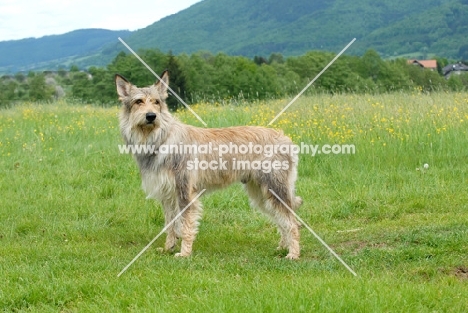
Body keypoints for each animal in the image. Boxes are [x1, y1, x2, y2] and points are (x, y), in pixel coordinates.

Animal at [115, 71, 302, 258]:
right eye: (138, 101)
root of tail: (285, 138)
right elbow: (170, 225)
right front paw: (169, 247)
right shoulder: (168, 196)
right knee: (282, 220)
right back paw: (283, 247)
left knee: (292, 223)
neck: (161, 139)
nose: (151, 116)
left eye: (156, 102)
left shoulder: (185, 194)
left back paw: (293, 254)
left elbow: (186, 226)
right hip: (261, 194)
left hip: (275, 190)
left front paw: (184, 253)